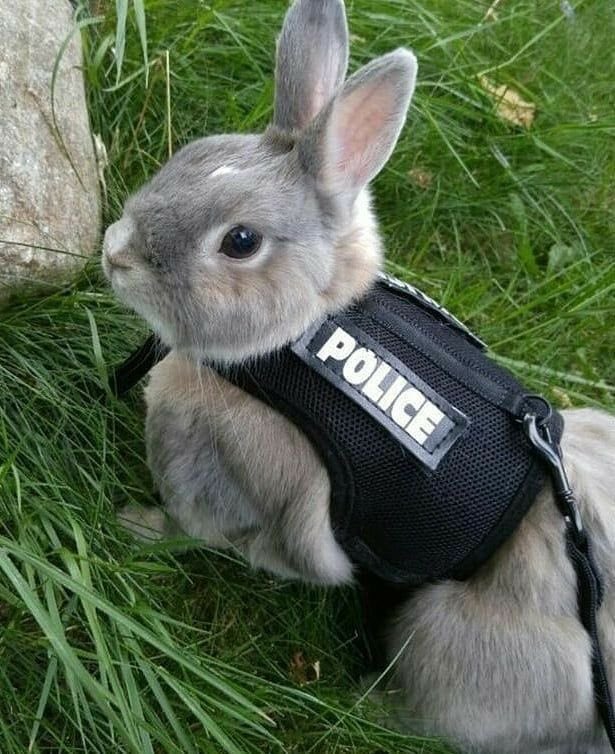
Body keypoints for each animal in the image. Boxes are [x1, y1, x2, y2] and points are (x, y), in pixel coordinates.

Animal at [102, 1, 615, 752]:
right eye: (193, 153)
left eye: (240, 242)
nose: (116, 252)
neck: (302, 329)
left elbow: (199, 529)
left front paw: (134, 526)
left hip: (445, 637)